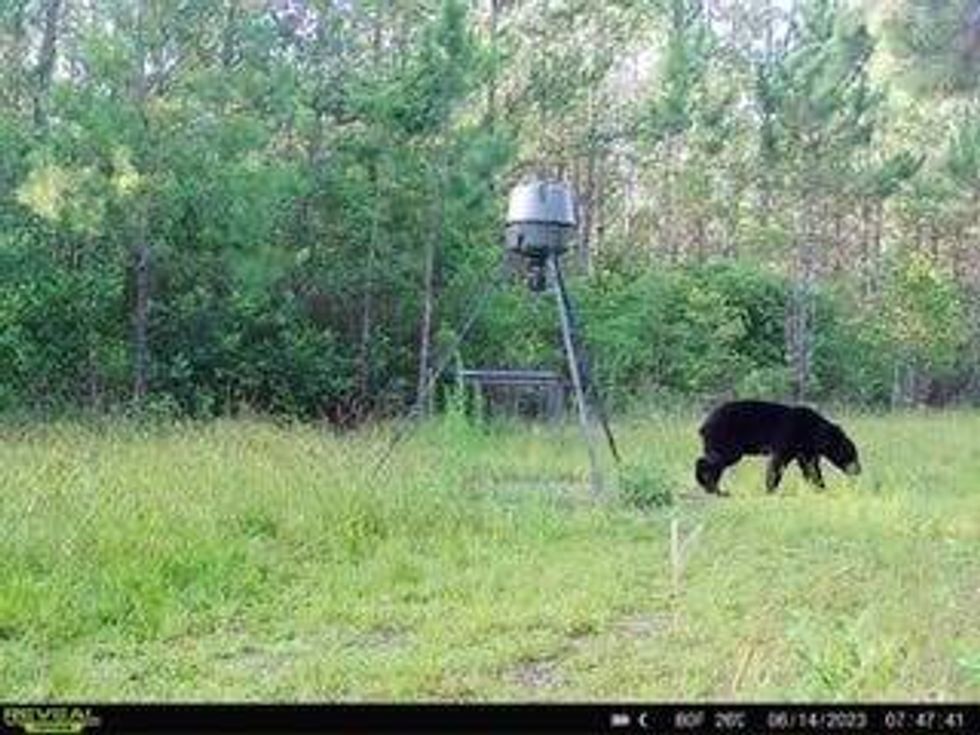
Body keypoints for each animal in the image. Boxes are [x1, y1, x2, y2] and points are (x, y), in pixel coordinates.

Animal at [694, 400, 861, 495]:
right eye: (853, 455)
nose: (859, 470)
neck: (815, 431)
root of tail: (704, 425)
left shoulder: (806, 448)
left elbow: (810, 467)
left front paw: (821, 487)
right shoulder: (790, 436)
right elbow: (778, 462)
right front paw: (771, 488)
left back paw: (713, 487)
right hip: (727, 438)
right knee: (716, 458)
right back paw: (711, 486)